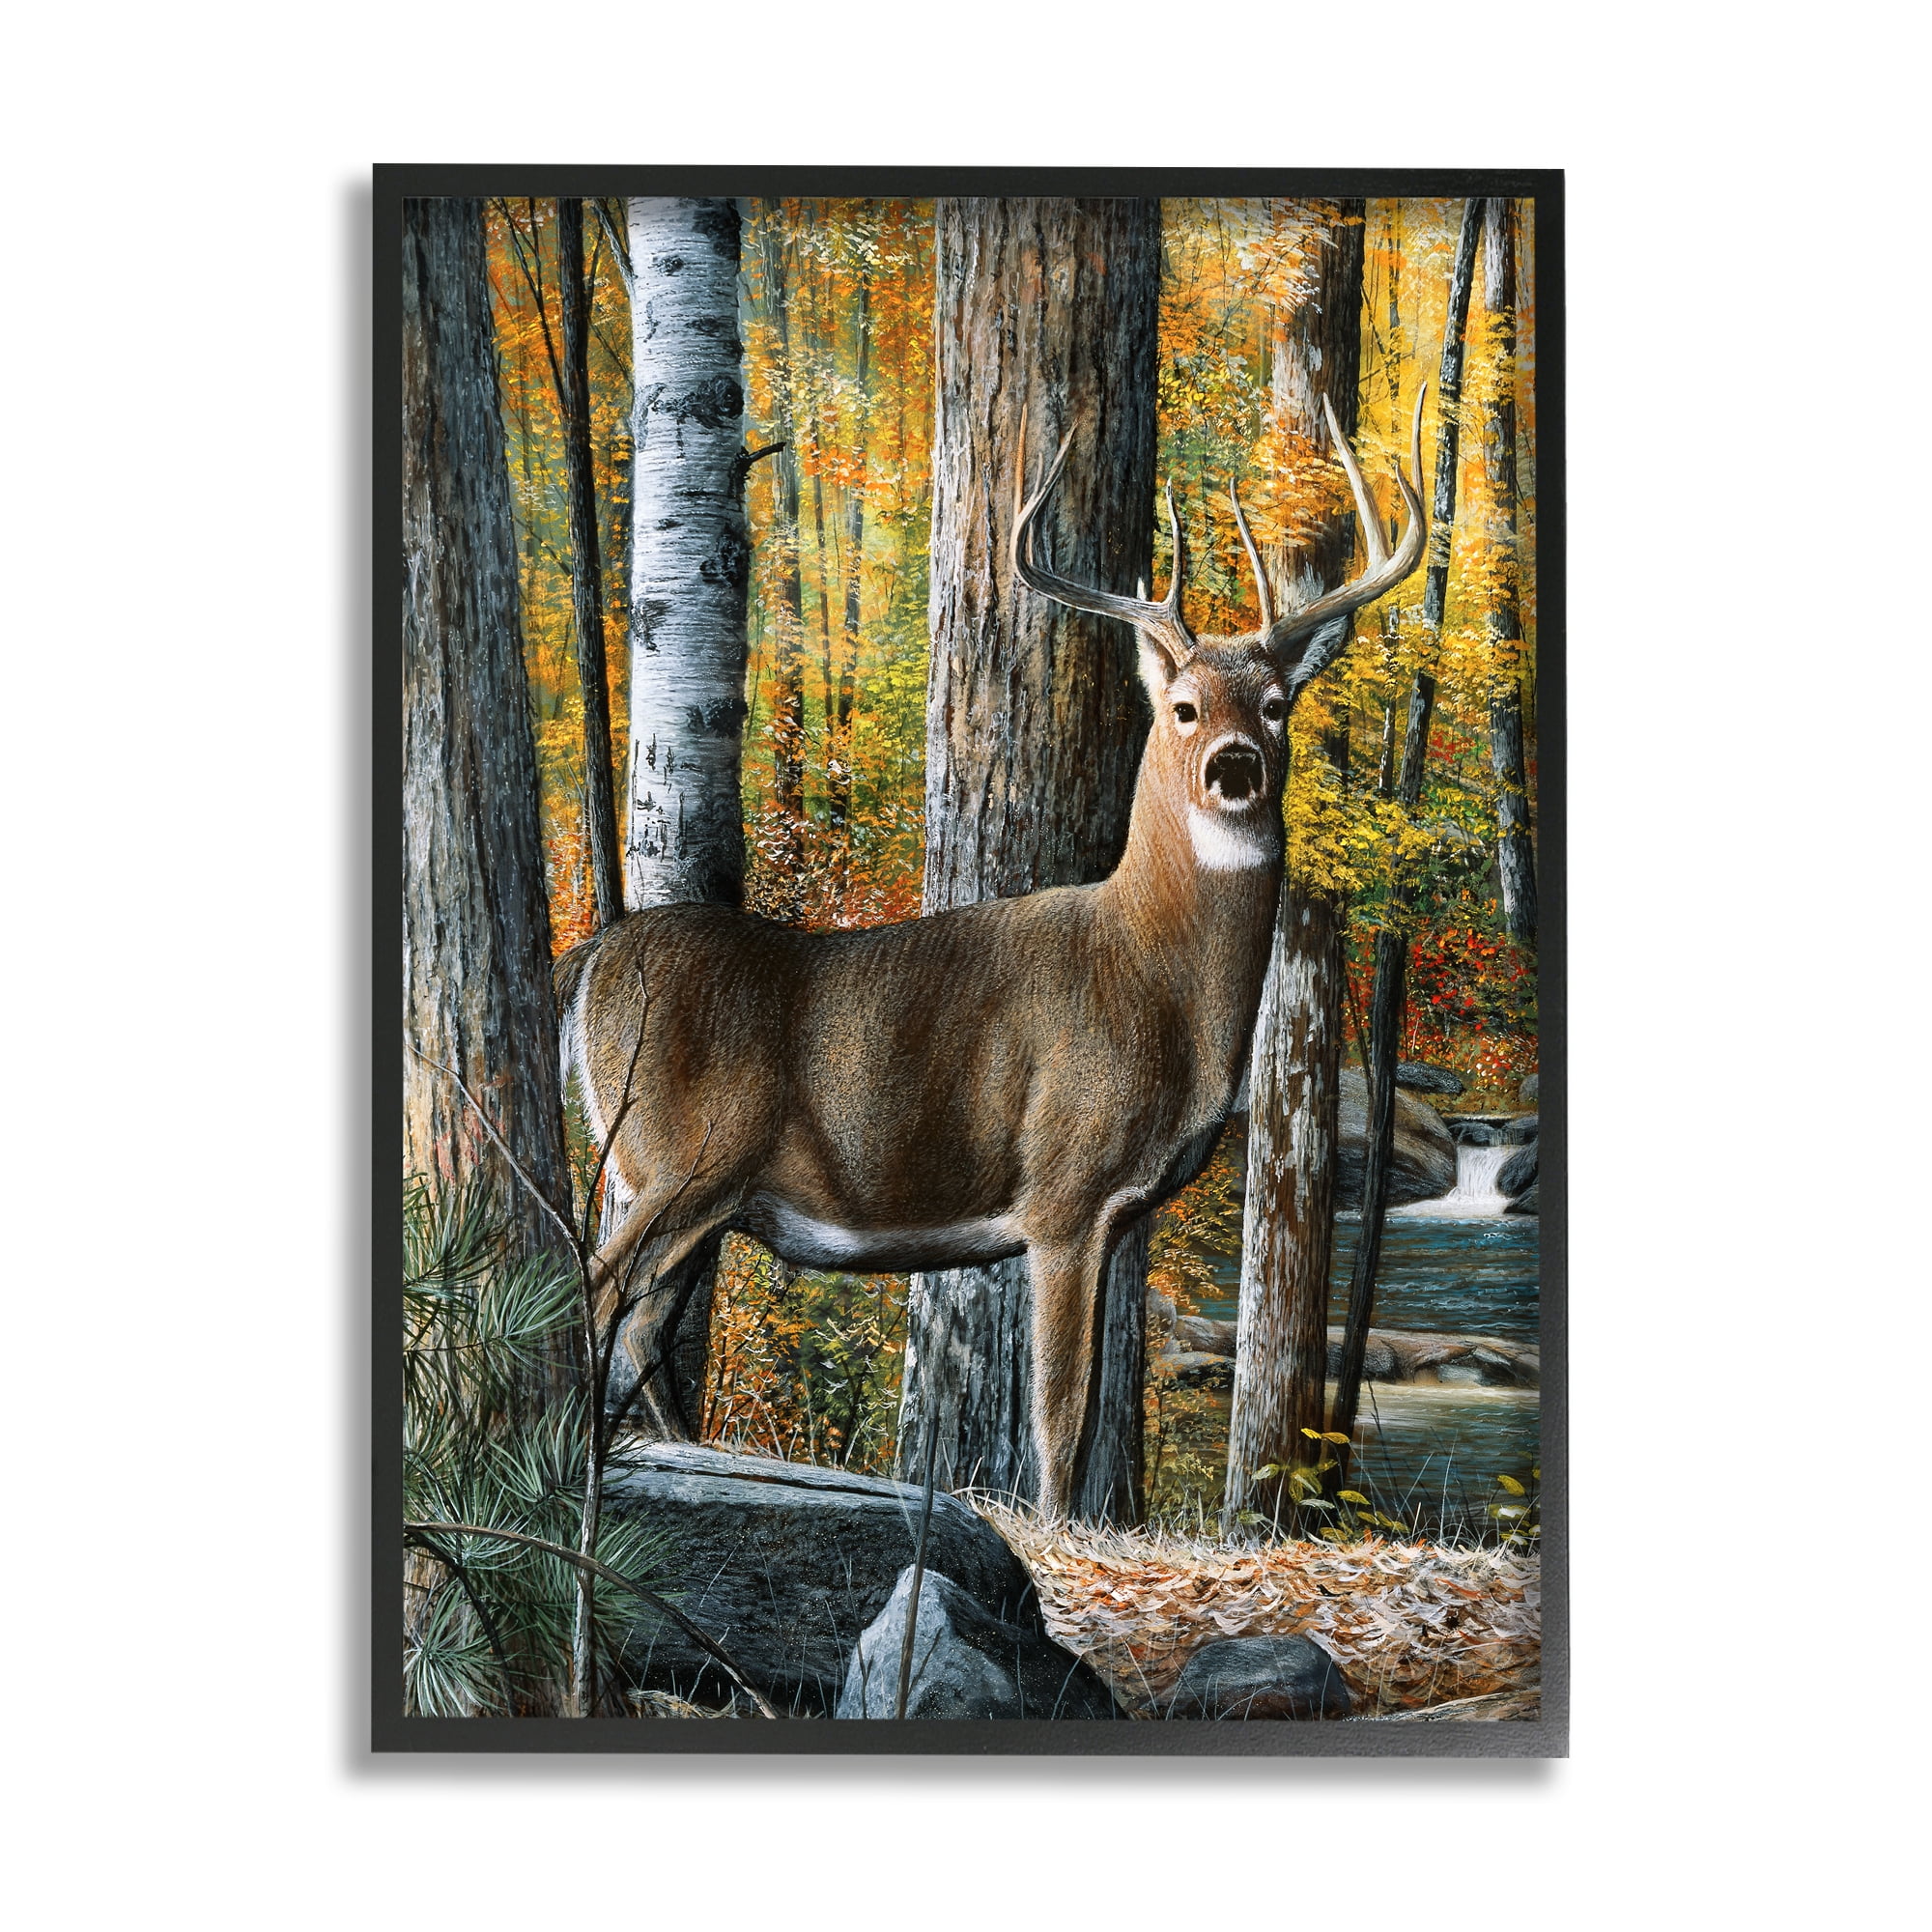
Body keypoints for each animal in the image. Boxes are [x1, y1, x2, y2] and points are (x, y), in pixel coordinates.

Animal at [557, 388, 1427, 1519]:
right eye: (1184, 707)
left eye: (1276, 706)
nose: (1233, 765)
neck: (1151, 976)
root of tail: (588, 963)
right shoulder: (1063, 1185)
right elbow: (1060, 1415)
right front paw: (1054, 1529)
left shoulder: (1116, 1213)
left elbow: (1086, 1409)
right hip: (677, 1154)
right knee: (594, 1292)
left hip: (677, 1184)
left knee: (637, 1324)